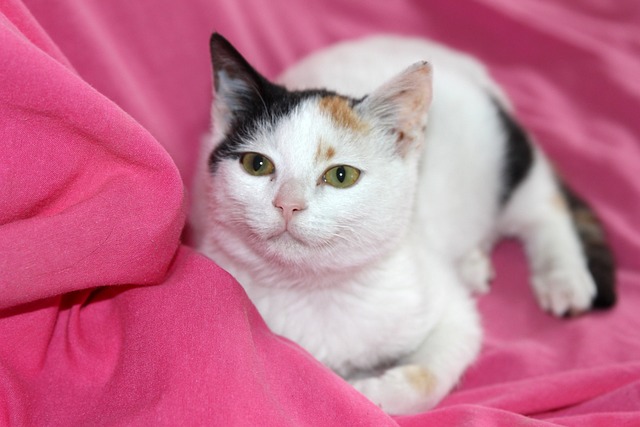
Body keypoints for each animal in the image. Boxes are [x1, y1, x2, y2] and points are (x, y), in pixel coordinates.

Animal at [190, 33, 616, 414]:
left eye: (341, 175)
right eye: (256, 164)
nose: (287, 204)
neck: (314, 290)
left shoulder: (446, 306)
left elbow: (429, 372)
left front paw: (370, 392)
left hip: (506, 161)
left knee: (544, 207)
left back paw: (562, 277)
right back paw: (474, 264)